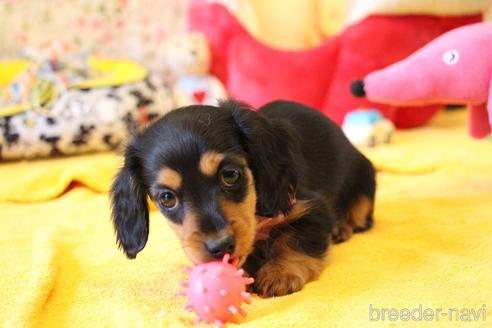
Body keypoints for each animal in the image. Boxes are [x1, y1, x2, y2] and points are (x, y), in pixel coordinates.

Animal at [109, 99, 374, 298]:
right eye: (166, 198)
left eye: (230, 174)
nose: (219, 247)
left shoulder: (311, 208)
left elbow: (295, 241)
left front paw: (279, 273)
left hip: (365, 178)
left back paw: (342, 227)